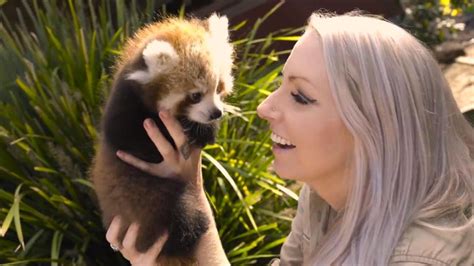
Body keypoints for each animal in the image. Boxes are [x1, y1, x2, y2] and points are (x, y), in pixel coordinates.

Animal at [89, 14, 233, 264]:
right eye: (195, 95)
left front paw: (206, 130)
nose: (216, 113)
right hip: (145, 200)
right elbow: (128, 137)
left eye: (218, 88)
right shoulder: (122, 110)